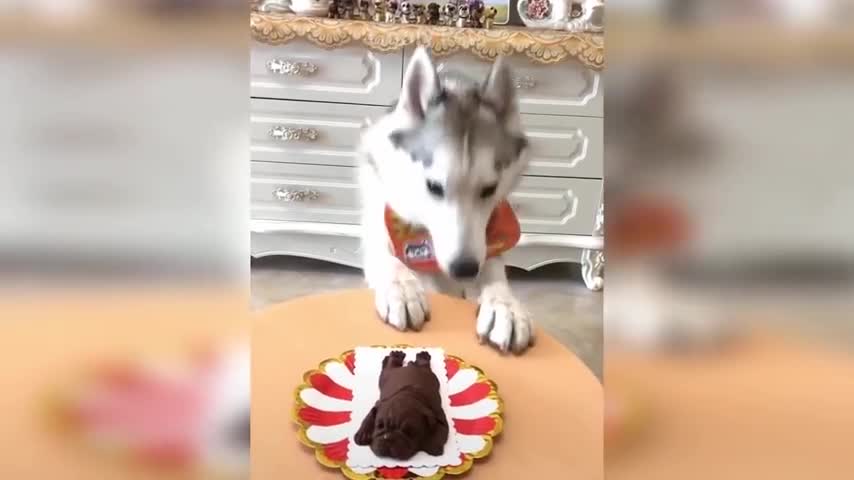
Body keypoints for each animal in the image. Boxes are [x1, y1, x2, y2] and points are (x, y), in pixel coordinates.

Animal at [356, 48, 532, 354]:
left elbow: (496, 275)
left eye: (490, 188)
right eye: (433, 187)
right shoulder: (381, 227)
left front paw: (505, 307)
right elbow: (389, 260)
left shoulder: (490, 241)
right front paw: (402, 287)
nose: (464, 268)